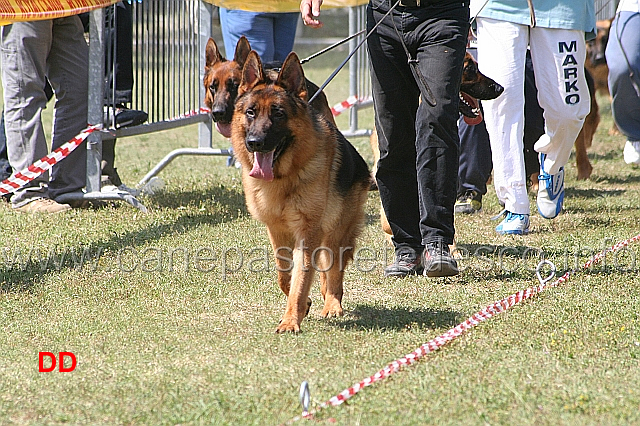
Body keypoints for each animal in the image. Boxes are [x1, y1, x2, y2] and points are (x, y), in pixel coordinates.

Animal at [231, 48, 372, 332]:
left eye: (278, 114)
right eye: (251, 112)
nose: (255, 143)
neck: (284, 177)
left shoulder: (307, 232)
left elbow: (301, 277)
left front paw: (291, 320)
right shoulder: (278, 230)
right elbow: (285, 276)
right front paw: (302, 305)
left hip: (337, 233)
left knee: (334, 272)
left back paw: (332, 305)